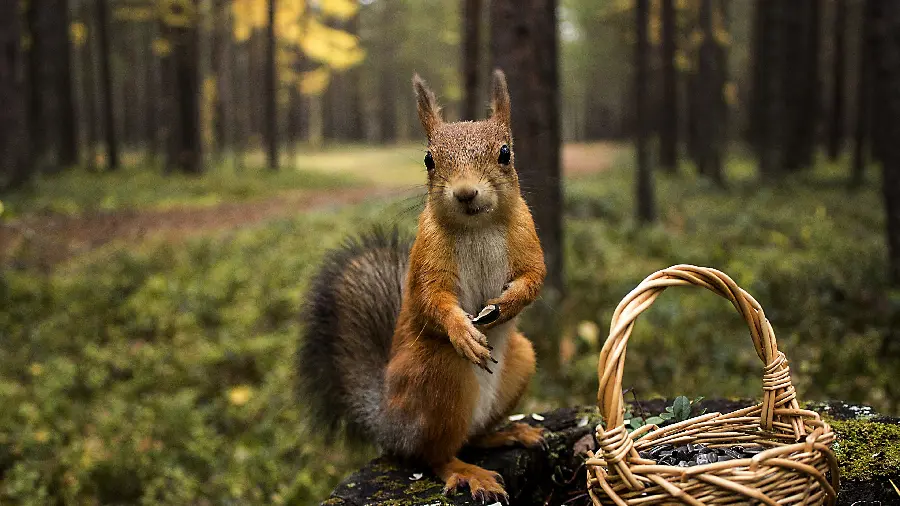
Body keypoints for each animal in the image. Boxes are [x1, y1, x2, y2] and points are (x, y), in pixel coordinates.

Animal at [298, 70, 544, 502]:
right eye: (429, 159)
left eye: (505, 153)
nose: (465, 192)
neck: (477, 226)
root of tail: (389, 423)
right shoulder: (427, 256)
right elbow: (432, 298)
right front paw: (463, 331)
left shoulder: (527, 237)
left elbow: (534, 277)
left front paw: (508, 303)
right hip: (437, 375)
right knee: (434, 455)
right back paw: (467, 471)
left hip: (520, 360)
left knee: (472, 437)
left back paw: (509, 433)